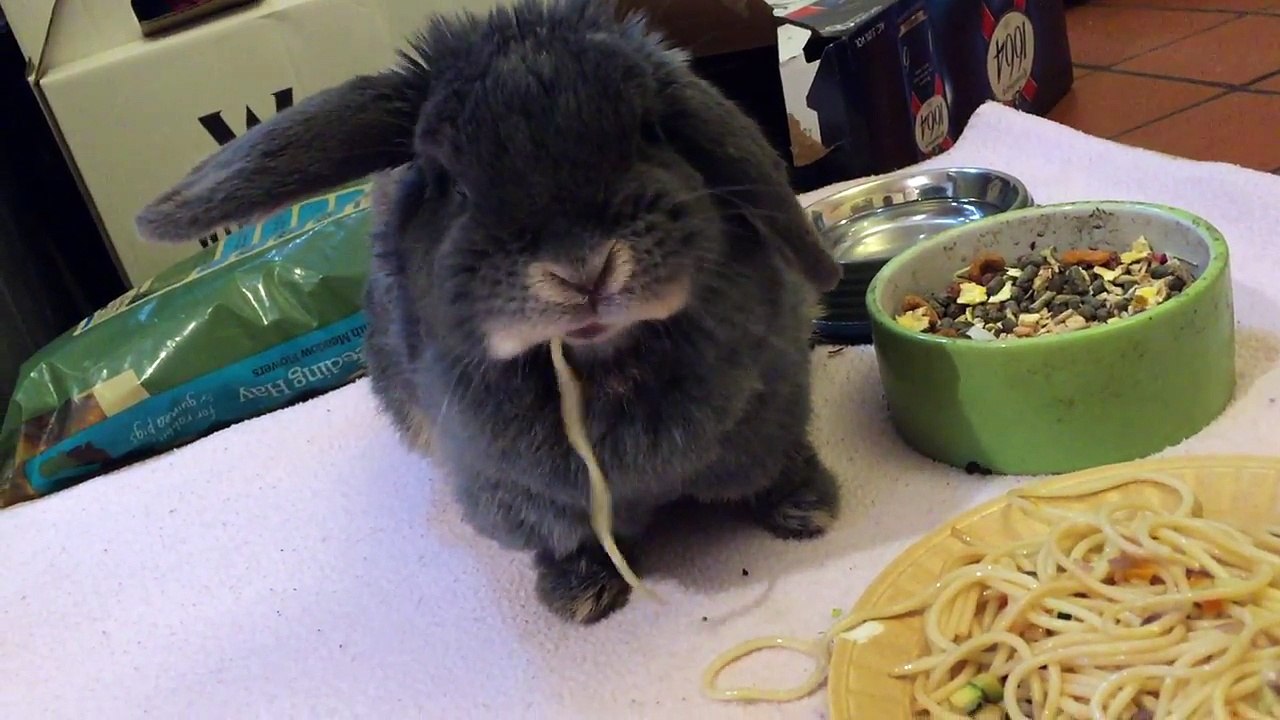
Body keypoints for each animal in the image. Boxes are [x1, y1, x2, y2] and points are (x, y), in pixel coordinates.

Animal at [134, 0, 843, 624]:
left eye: (650, 131)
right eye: (452, 183)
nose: (582, 270)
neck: (600, 362)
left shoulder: (768, 413)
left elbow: (774, 470)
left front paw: (810, 509)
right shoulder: (522, 494)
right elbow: (572, 540)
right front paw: (581, 596)